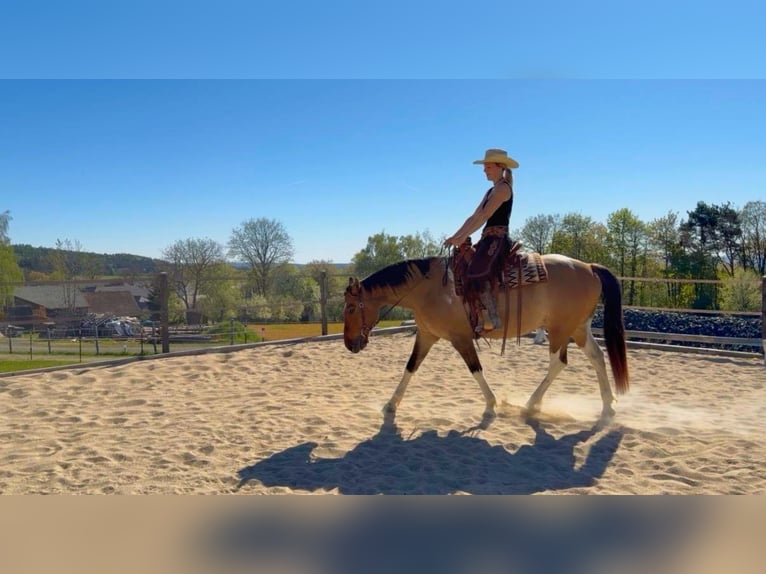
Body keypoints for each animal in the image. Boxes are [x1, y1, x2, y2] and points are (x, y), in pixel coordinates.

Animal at [342, 254, 629, 421]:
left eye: (351, 308)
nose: (349, 344)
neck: (428, 289)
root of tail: (589, 267)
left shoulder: (460, 338)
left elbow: (475, 368)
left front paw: (491, 404)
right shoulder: (426, 335)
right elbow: (410, 368)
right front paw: (391, 404)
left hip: (560, 329)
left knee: (558, 363)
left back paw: (531, 404)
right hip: (578, 328)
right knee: (597, 357)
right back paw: (607, 406)